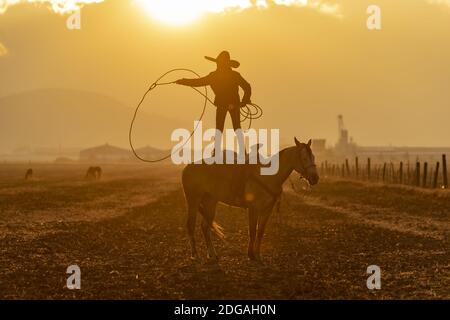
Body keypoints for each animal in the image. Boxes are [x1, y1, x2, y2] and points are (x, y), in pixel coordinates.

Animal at [181, 136, 318, 262]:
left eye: (313, 157)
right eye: (304, 158)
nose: (315, 178)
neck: (268, 176)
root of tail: (187, 168)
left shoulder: (267, 210)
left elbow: (260, 232)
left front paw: (257, 255)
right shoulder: (253, 208)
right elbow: (252, 231)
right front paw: (250, 255)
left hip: (210, 202)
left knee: (205, 226)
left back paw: (212, 254)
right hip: (193, 201)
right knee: (191, 225)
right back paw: (195, 254)